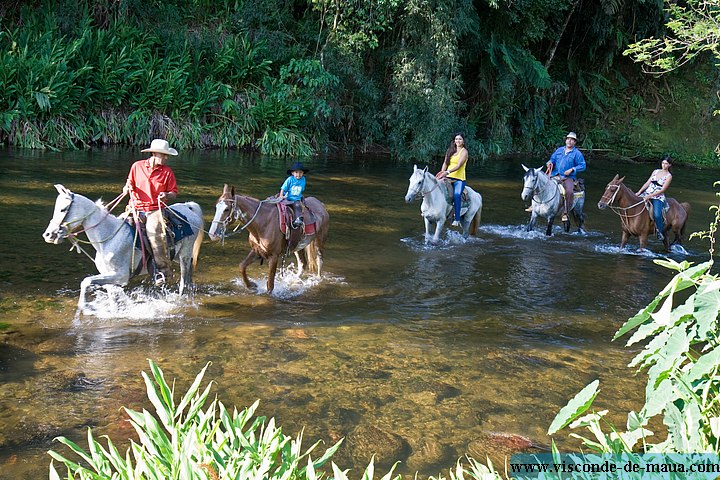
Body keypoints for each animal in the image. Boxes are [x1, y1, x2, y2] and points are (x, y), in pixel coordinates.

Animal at [43, 184, 202, 308]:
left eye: (63, 209)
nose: (48, 235)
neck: (109, 238)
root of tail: (188, 207)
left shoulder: (120, 275)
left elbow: (86, 281)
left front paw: (85, 307)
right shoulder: (109, 276)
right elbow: (111, 296)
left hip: (185, 254)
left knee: (184, 281)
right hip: (177, 255)